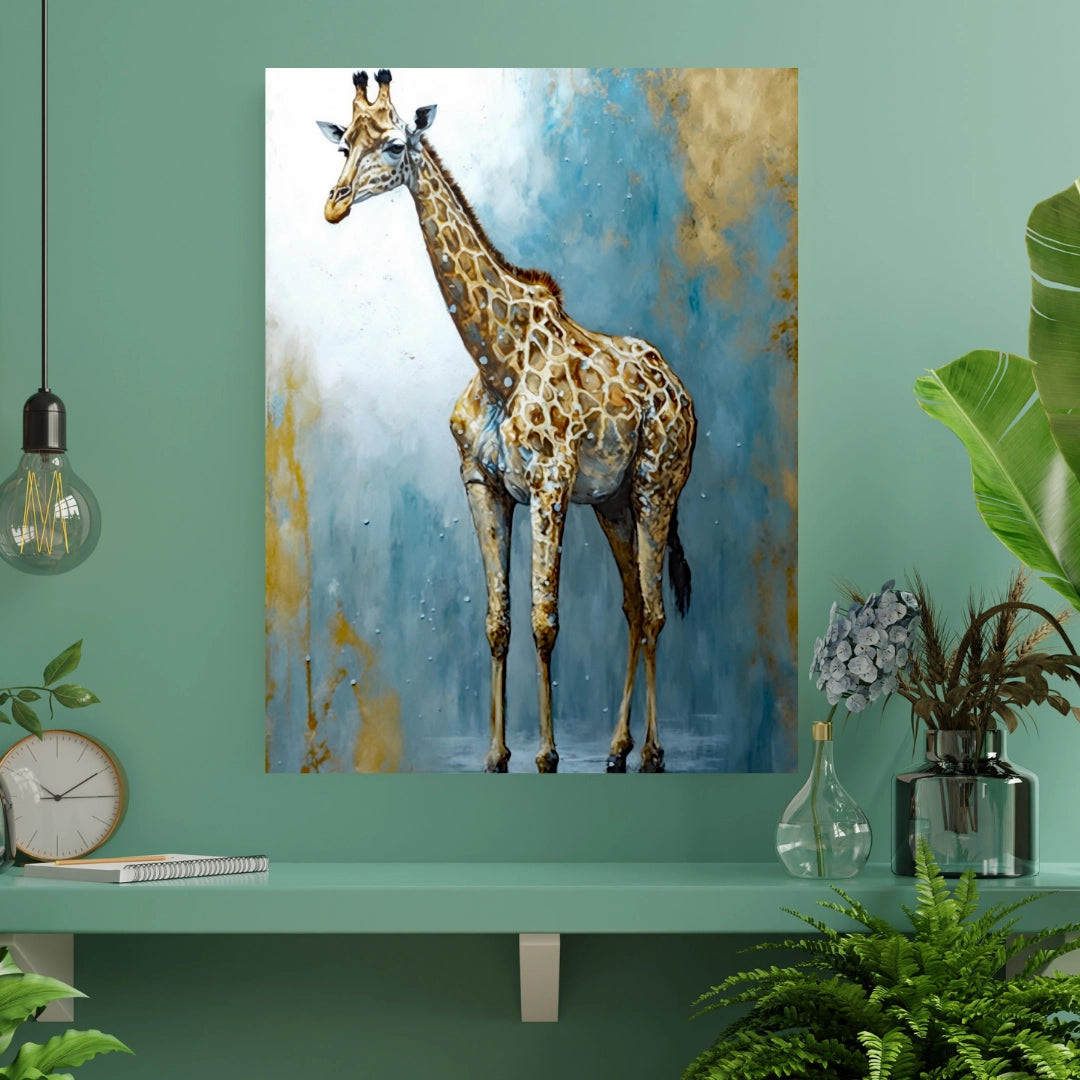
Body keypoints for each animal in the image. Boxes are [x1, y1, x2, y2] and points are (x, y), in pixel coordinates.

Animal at [318, 69, 697, 773]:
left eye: (393, 145)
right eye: (343, 145)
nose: (334, 204)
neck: (495, 358)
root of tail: (681, 389)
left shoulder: (549, 485)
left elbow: (546, 622)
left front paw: (546, 754)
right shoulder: (483, 486)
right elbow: (498, 623)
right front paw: (497, 754)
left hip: (657, 484)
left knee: (656, 609)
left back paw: (654, 752)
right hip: (612, 501)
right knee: (634, 606)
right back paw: (617, 747)